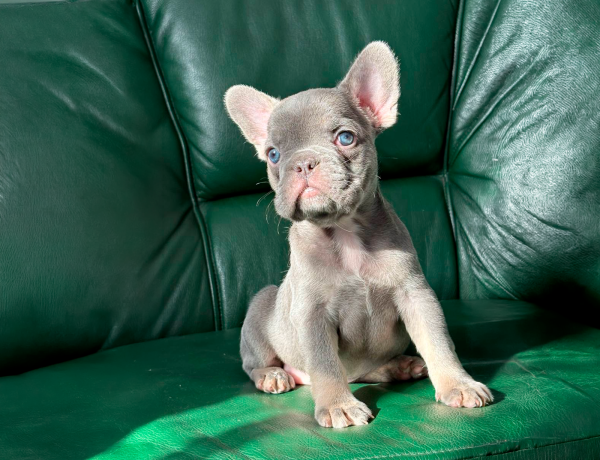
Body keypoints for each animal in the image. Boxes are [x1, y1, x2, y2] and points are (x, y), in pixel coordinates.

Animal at [224, 41, 493, 428]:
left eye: (345, 137)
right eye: (273, 154)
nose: (302, 162)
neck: (344, 231)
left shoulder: (416, 295)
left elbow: (439, 341)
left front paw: (458, 383)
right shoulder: (313, 314)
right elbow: (325, 364)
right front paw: (338, 405)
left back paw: (398, 366)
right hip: (262, 309)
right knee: (254, 362)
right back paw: (272, 375)